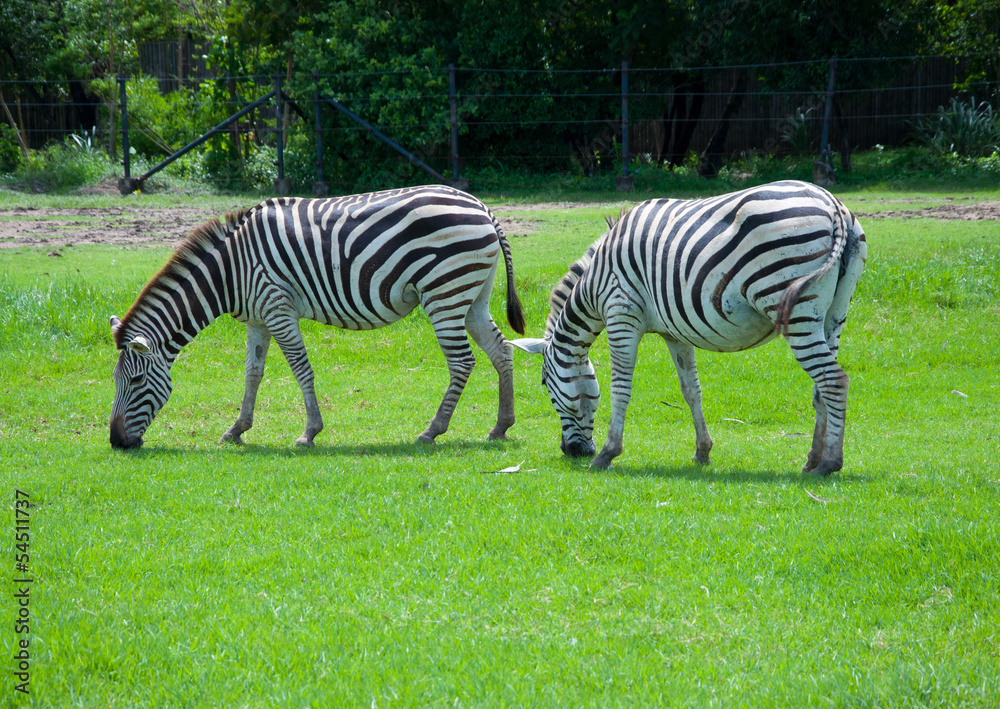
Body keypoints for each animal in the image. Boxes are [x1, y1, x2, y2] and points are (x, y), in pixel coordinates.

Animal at [111, 183, 524, 448]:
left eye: (135, 382)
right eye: (116, 381)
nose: (116, 442)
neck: (230, 271)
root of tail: (482, 206)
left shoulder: (277, 307)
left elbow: (299, 367)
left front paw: (309, 432)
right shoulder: (258, 319)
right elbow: (252, 373)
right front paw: (237, 429)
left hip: (445, 292)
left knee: (462, 362)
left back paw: (432, 430)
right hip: (472, 296)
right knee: (501, 350)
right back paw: (501, 426)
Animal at [512, 180, 864, 472]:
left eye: (544, 384)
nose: (572, 452)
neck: (594, 284)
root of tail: (834, 205)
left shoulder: (621, 313)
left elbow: (621, 387)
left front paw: (608, 453)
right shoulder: (673, 332)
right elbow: (691, 390)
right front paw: (702, 451)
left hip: (792, 306)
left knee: (834, 380)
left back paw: (829, 464)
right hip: (834, 314)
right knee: (821, 387)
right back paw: (812, 459)